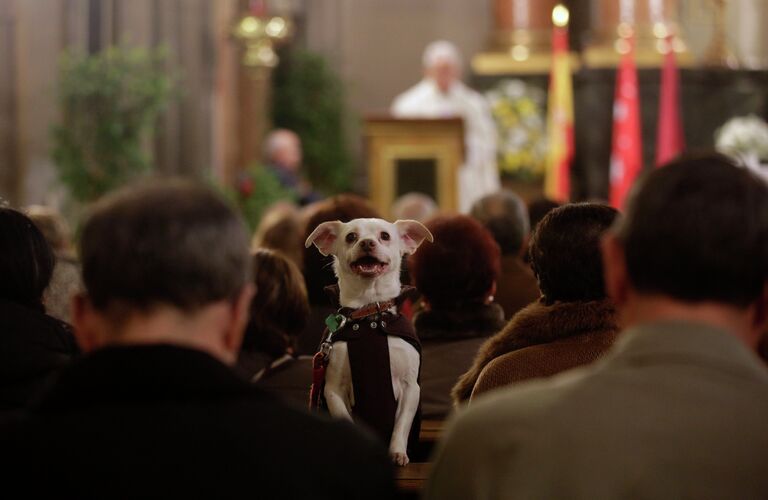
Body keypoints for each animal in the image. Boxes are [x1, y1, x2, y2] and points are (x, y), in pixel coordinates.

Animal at [304, 217, 432, 466]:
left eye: (385, 236)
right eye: (351, 237)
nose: (366, 242)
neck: (369, 313)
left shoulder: (410, 388)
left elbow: (401, 426)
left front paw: (397, 452)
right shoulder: (333, 389)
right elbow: (347, 420)